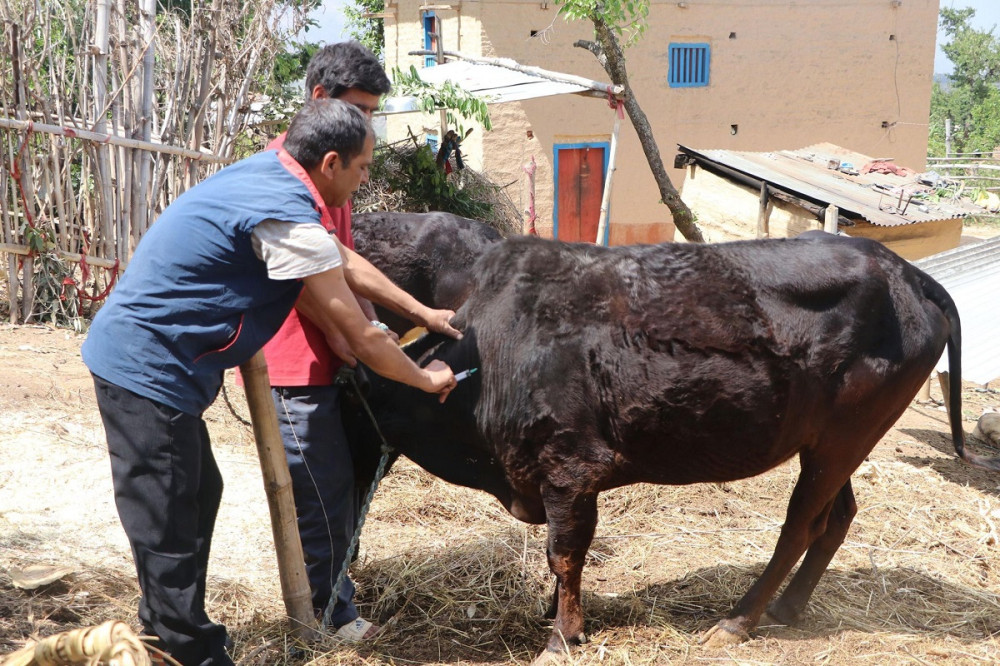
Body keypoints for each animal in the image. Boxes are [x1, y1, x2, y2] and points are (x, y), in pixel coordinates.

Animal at [342, 231, 1000, 656]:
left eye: (347, 412)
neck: (492, 355)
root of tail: (906, 271)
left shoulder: (571, 469)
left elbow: (565, 554)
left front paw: (561, 635)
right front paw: (553, 613)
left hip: (843, 439)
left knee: (798, 525)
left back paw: (738, 620)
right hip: (834, 443)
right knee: (837, 515)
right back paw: (788, 608)